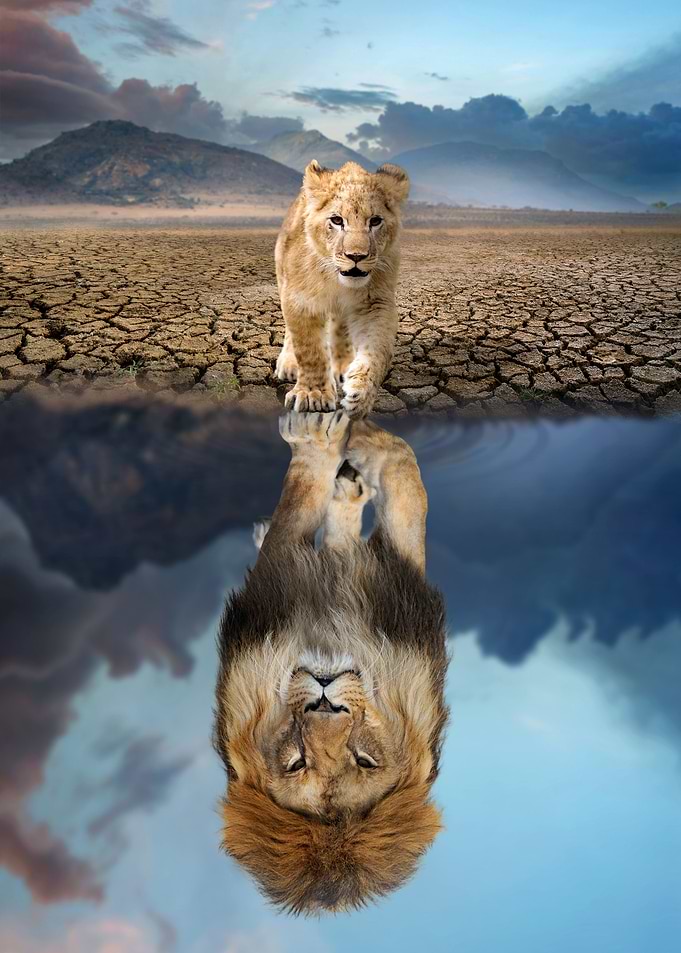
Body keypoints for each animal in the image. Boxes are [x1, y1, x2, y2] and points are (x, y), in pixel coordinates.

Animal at [214, 411, 449, 914]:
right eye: (297, 763)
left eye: (364, 760)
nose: (324, 701)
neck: (329, 635)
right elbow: (401, 482)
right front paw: (339, 442)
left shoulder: (396, 590)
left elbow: (403, 485)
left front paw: (340, 442)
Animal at [274, 160, 410, 418]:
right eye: (337, 220)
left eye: (375, 221)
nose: (356, 256)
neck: (336, 280)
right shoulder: (300, 300)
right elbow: (309, 350)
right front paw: (313, 395)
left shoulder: (375, 303)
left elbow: (378, 351)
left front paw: (360, 394)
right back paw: (288, 364)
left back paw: (344, 366)